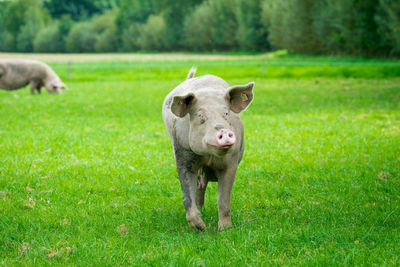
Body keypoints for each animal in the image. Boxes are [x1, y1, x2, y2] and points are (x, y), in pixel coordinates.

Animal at [162, 67, 253, 230]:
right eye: (200, 115)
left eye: (226, 113)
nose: (223, 131)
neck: (208, 155)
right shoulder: (183, 155)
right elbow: (187, 195)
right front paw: (200, 227)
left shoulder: (231, 161)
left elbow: (223, 200)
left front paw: (224, 229)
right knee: (200, 185)